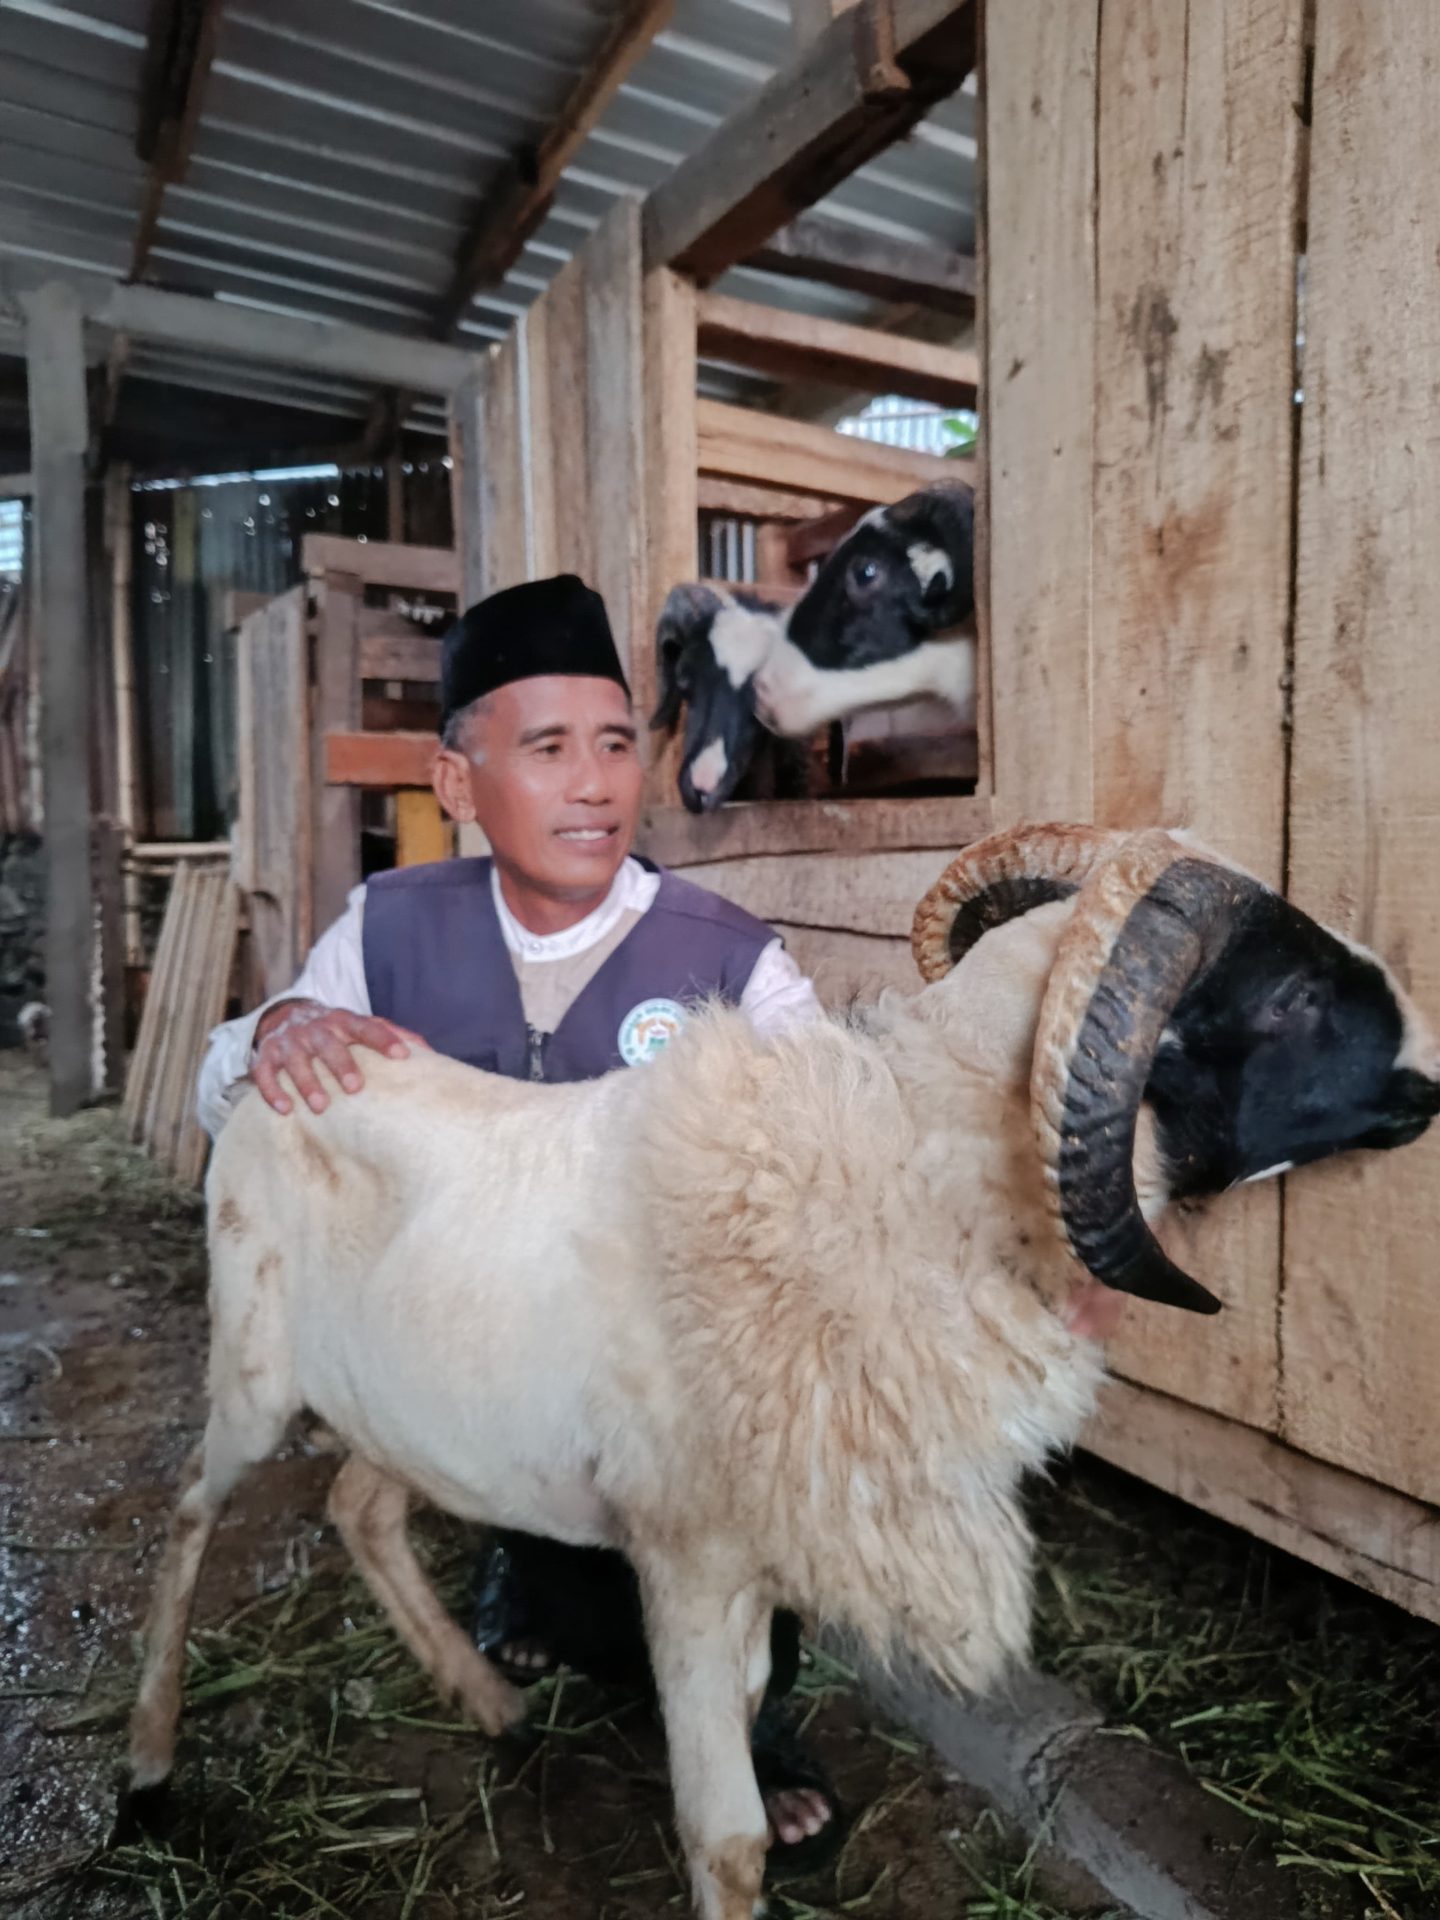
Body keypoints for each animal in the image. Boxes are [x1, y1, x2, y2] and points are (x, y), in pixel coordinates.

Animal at [128, 822, 1440, 1920]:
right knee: (190, 1513)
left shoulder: (754, 1555)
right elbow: (726, 1839)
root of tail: (260, 1080)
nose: (1431, 1069)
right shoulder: (687, 1559)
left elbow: (757, 1717)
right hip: (253, 1377)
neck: (901, 1167)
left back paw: (489, 1701)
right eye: (1292, 996)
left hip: (415, 1405)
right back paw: (149, 1759)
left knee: (358, 1503)